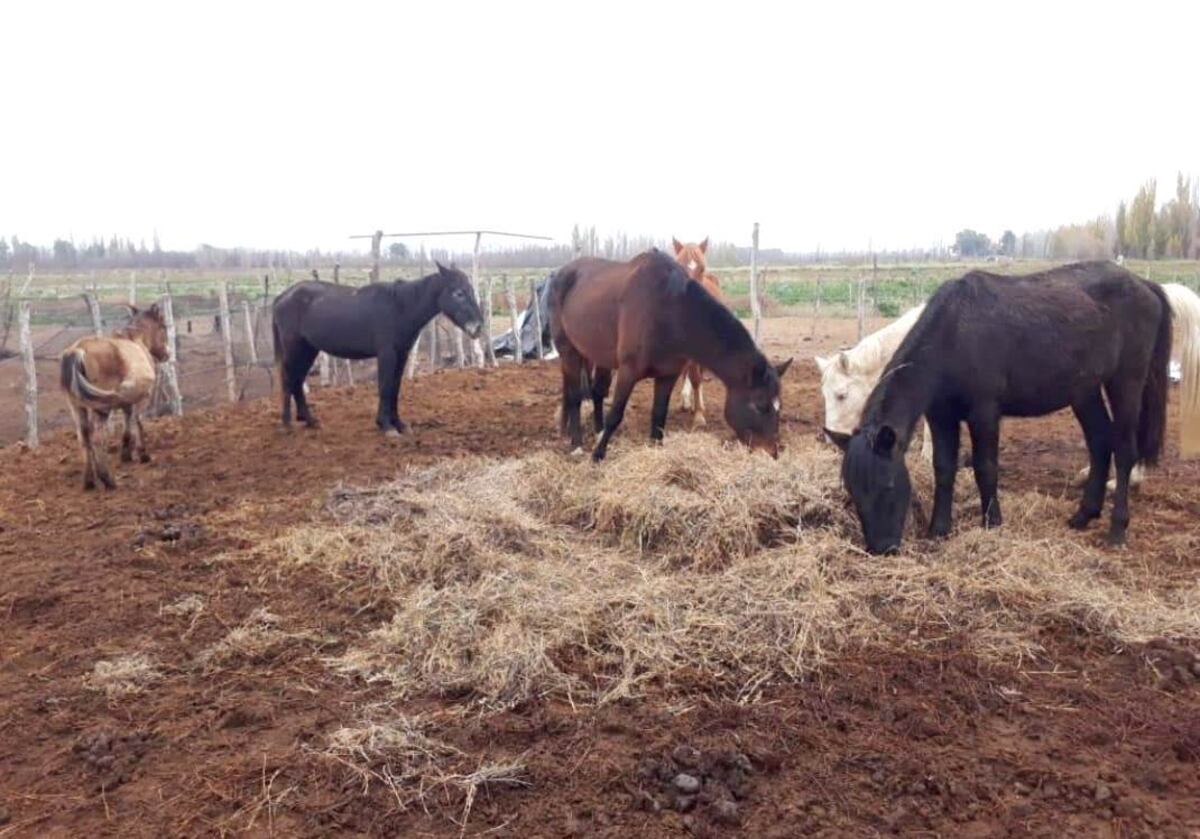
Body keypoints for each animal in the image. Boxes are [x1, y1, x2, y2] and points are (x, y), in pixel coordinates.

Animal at [59, 304, 169, 489]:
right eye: (164, 326)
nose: (167, 354)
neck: (136, 340)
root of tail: (79, 350)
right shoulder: (142, 399)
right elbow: (138, 422)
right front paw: (142, 454)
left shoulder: (127, 402)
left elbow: (127, 423)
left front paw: (126, 454)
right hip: (101, 408)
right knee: (96, 439)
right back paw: (107, 479)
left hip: (77, 407)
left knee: (84, 438)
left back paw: (89, 480)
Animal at [272, 262, 483, 434]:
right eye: (459, 293)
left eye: (471, 291)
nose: (478, 327)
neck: (400, 307)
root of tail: (282, 297)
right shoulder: (387, 354)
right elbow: (385, 387)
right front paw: (386, 426)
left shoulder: (402, 354)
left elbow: (395, 388)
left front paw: (399, 424)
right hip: (295, 349)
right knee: (288, 380)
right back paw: (287, 424)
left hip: (308, 350)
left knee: (297, 381)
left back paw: (309, 420)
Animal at [832, 262, 1171, 554]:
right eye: (853, 493)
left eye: (888, 486)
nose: (882, 549)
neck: (954, 333)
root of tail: (1143, 284)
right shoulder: (941, 416)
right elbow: (943, 468)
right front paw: (938, 529)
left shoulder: (984, 413)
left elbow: (986, 467)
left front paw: (992, 523)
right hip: (1085, 392)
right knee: (1100, 443)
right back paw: (1083, 516)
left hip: (1125, 384)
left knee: (1124, 451)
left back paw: (1117, 530)